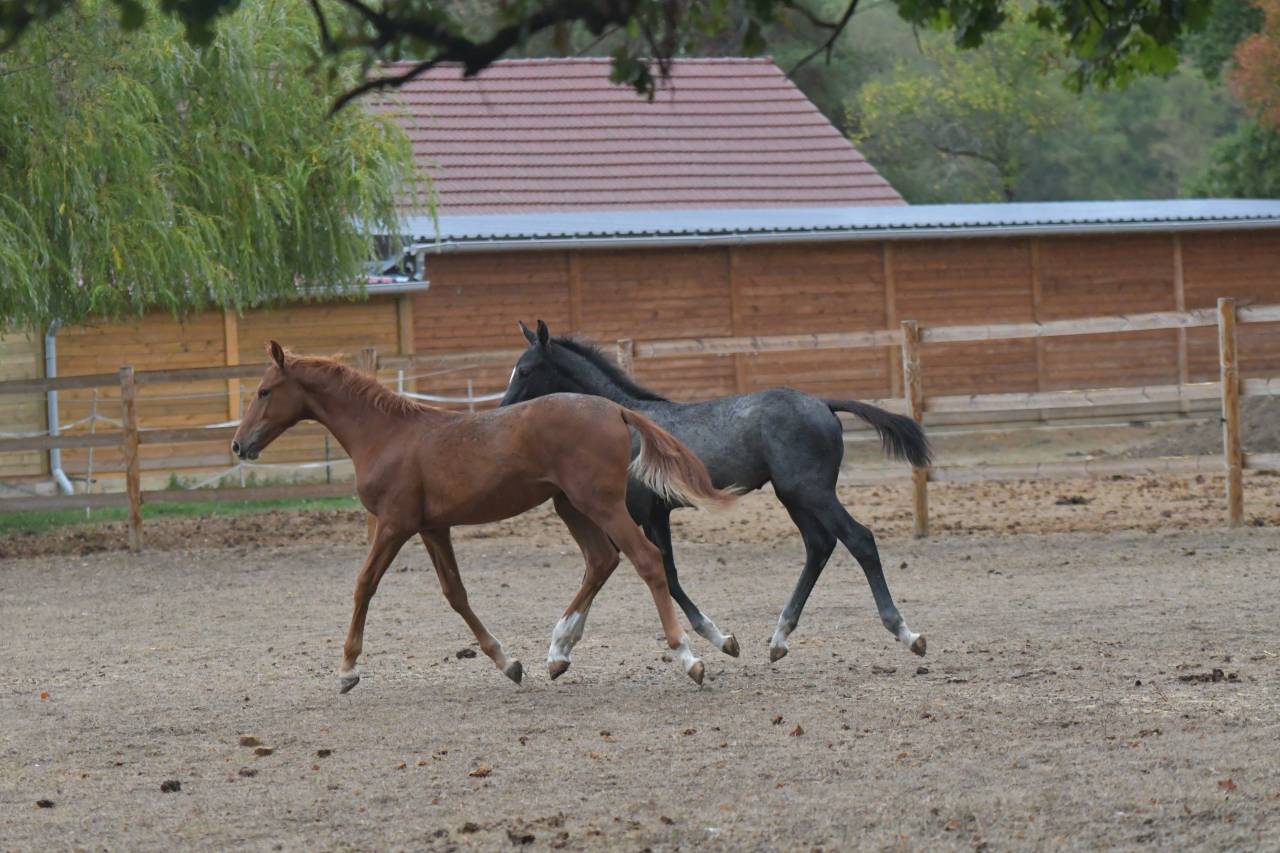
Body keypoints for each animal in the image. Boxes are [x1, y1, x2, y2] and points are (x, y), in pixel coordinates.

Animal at [231, 341, 737, 691]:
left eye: (263, 391)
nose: (239, 444)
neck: (387, 435)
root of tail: (614, 408)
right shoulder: (431, 527)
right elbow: (455, 594)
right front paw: (508, 663)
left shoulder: (394, 525)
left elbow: (364, 585)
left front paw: (347, 671)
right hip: (570, 505)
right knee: (601, 560)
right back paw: (559, 652)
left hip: (601, 504)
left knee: (646, 560)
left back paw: (689, 659)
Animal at [501, 321, 932, 663]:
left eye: (525, 370)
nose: (503, 412)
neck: (625, 423)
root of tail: (824, 404)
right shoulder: (656, 513)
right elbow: (640, 569)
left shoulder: (639, 511)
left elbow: (650, 571)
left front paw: (719, 639)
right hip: (793, 495)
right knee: (820, 545)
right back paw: (779, 639)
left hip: (812, 491)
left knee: (859, 539)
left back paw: (906, 634)